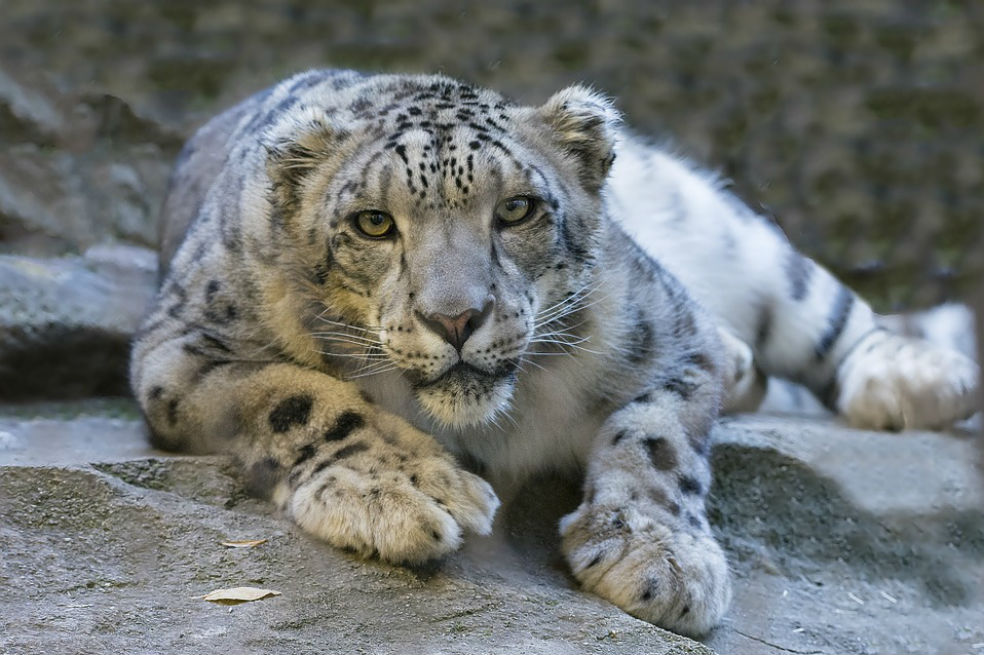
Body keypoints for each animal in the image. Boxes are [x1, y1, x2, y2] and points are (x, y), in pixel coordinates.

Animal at [130, 69, 980, 636]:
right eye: (373, 222)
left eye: (517, 209)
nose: (456, 317)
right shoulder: (182, 349)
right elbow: (296, 393)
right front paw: (408, 490)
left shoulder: (673, 328)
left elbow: (658, 436)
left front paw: (658, 557)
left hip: (726, 229)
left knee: (823, 305)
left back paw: (917, 376)